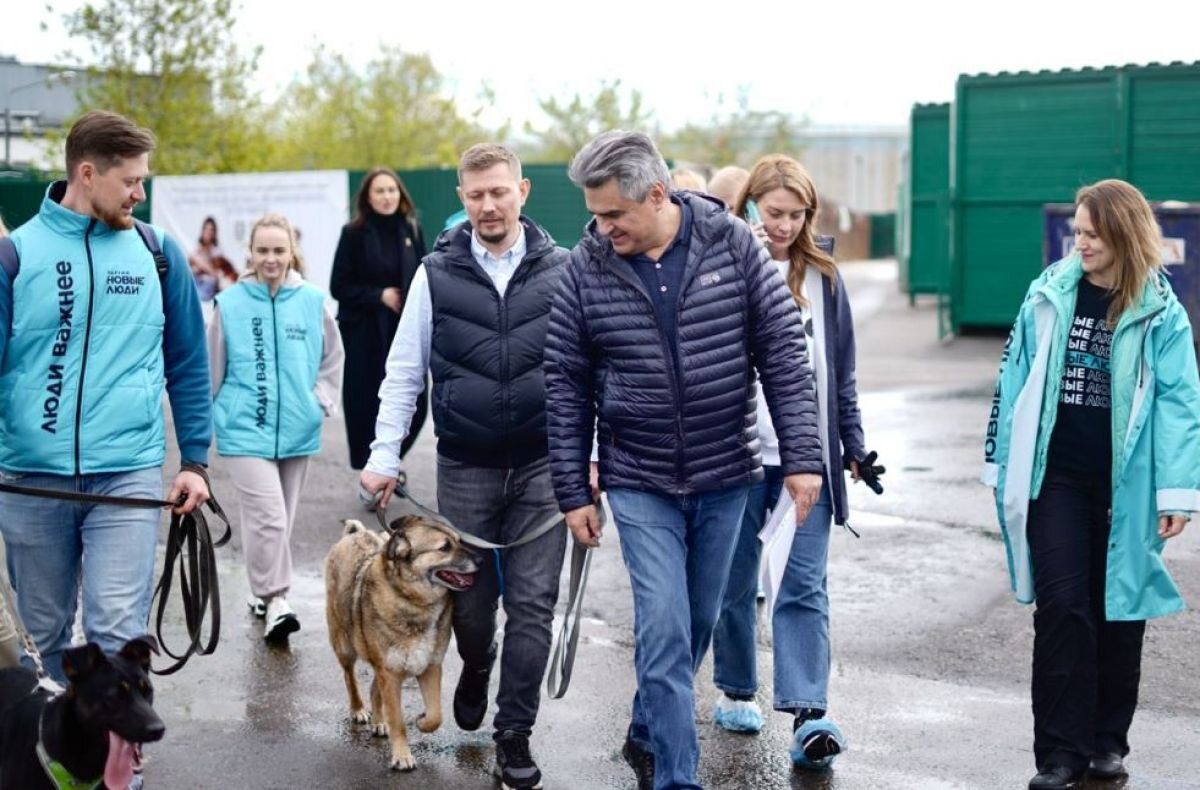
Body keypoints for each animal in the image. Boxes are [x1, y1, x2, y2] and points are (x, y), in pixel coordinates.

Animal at [328, 513, 482, 768]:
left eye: (459, 540)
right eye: (444, 547)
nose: (482, 559)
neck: (413, 601)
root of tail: (356, 534)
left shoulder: (429, 667)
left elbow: (436, 715)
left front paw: (422, 721)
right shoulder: (390, 673)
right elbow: (397, 720)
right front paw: (401, 756)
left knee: (374, 689)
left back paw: (379, 722)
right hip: (345, 645)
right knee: (350, 678)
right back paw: (359, 709)